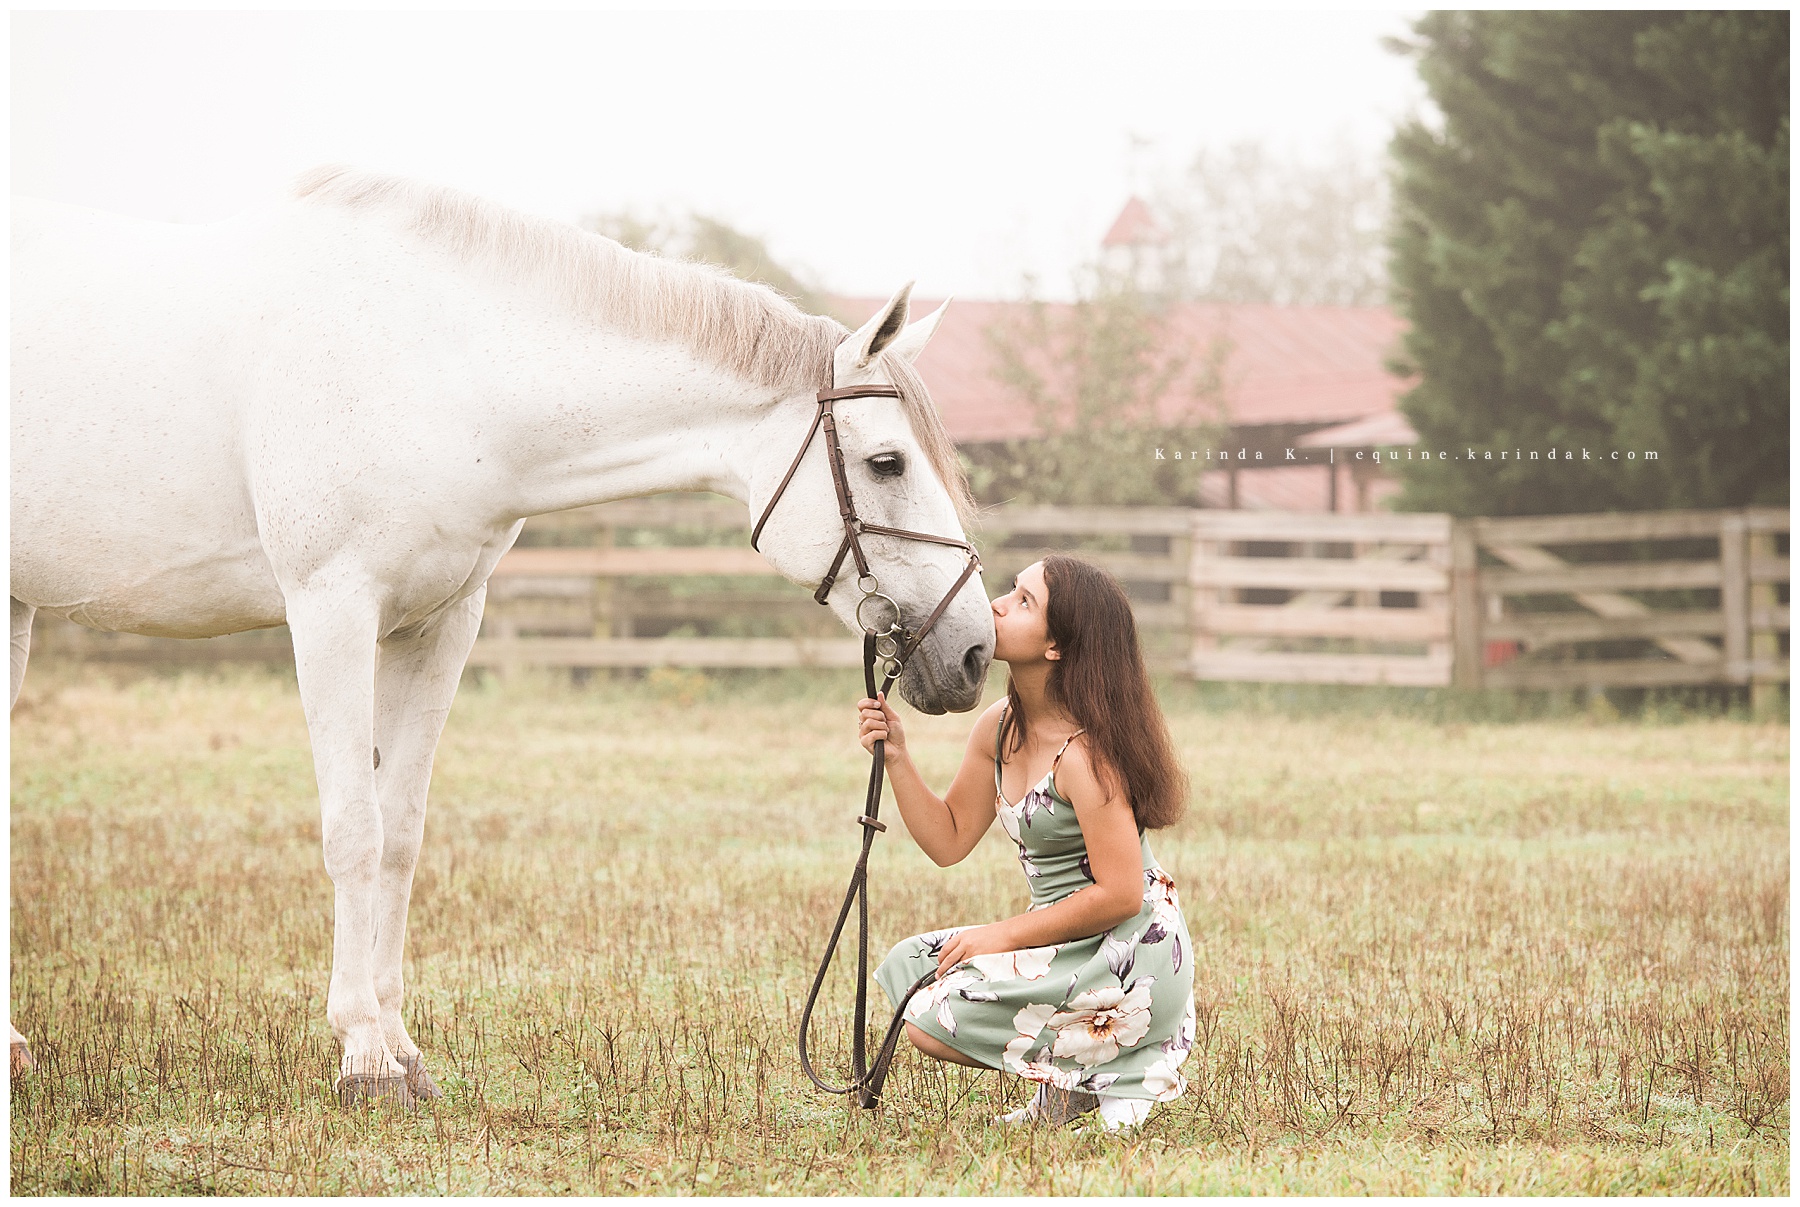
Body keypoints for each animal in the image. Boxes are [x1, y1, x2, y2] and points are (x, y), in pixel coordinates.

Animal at [10, 167, 995, 1104]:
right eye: (885, 463)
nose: (974, 653)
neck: (435, 369)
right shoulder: (330, 609)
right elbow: (354, 828)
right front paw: (362, 1056)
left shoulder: (441, 622)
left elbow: (401, 833)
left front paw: (402, 1049)